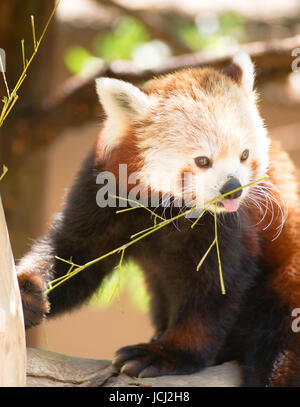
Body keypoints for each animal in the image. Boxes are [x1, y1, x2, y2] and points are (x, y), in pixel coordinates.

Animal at [16, 51, 300, 386]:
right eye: (202, 161)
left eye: (244, 155)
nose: (233, 189)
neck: (164, 209)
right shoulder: (100, 192)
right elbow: (73, 254)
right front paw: (25, 295)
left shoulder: (232, 228)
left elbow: (215, 290)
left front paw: (170, 353)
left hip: (287, 281)